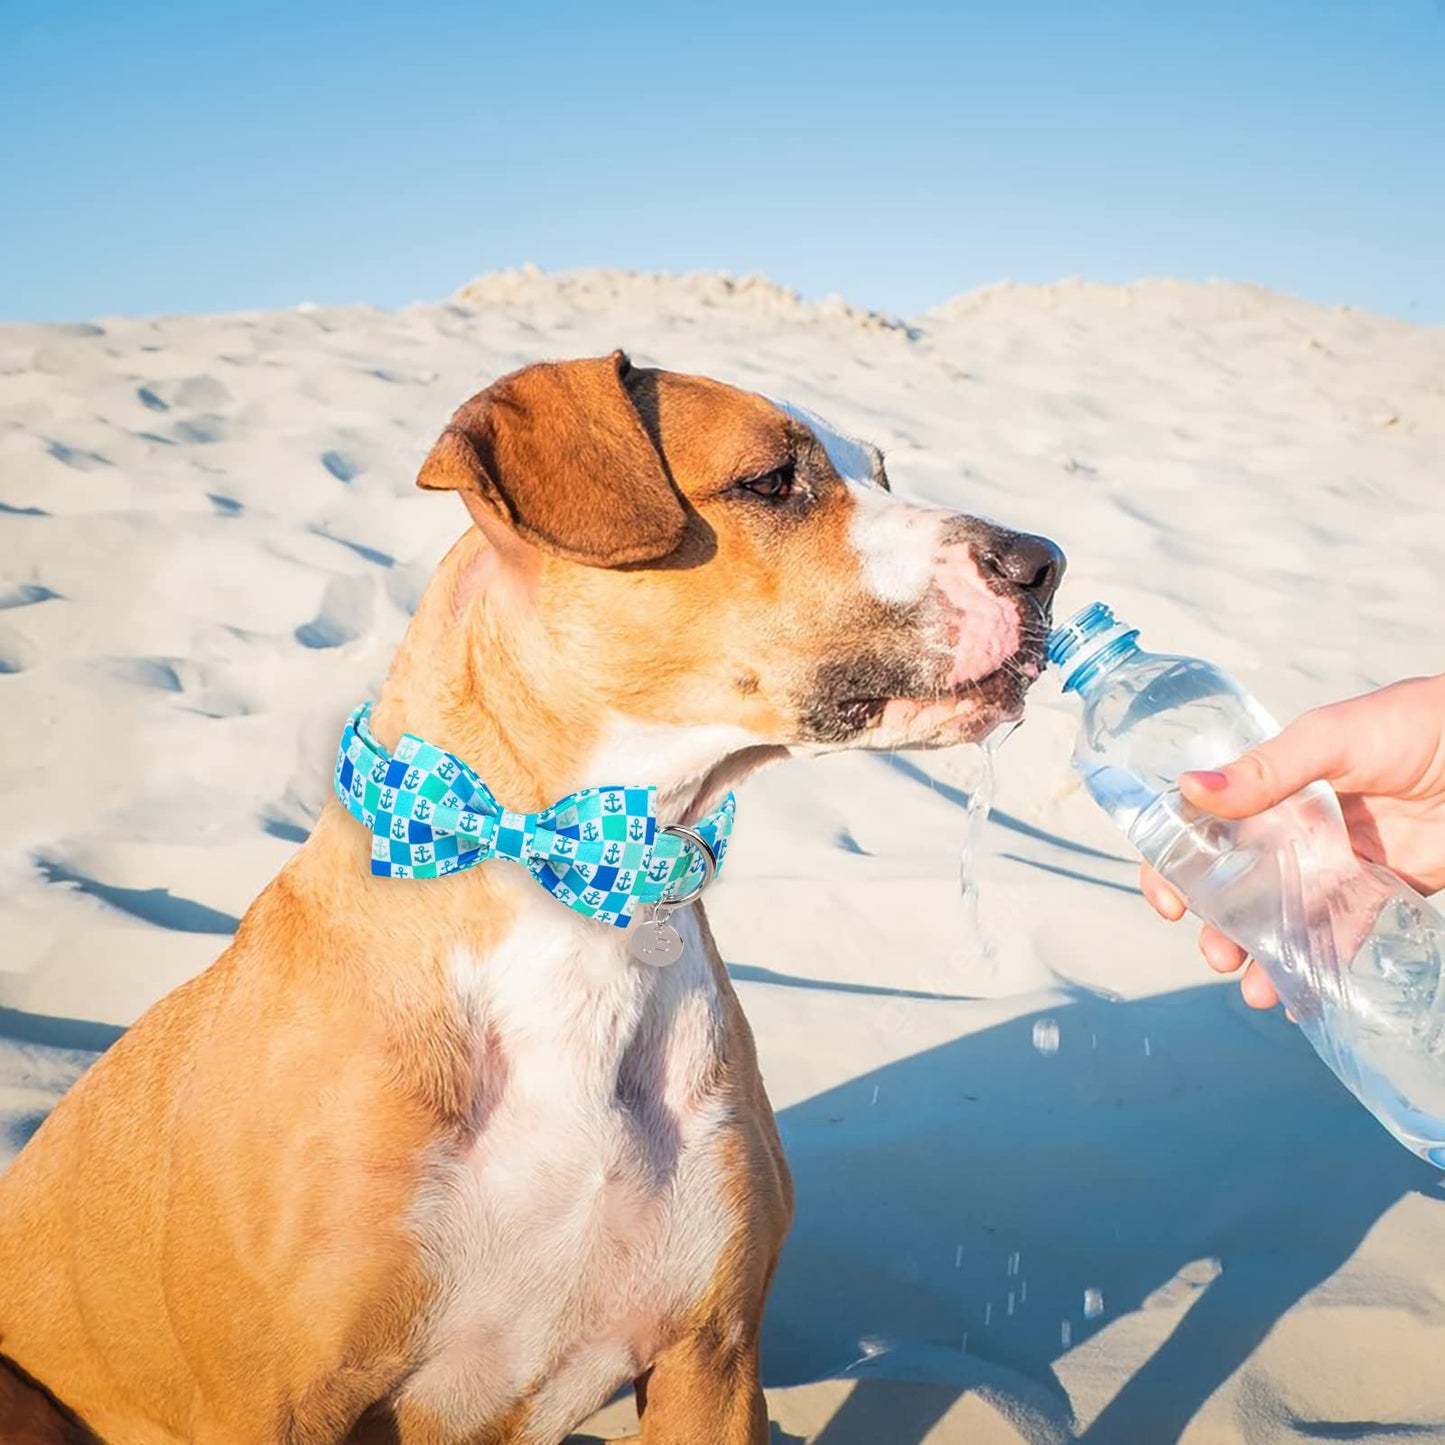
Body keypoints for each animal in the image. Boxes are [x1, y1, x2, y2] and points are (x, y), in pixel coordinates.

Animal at [0, 352, 1063, 1445]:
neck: (590, 891)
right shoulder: (271, 1404)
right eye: (771, 480)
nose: (1043, 563)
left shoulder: (713, 1360)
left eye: (883, 473)